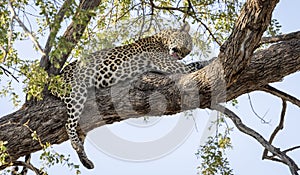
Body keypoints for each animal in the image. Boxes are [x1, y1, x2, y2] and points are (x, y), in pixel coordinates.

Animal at [54, 22, 213, 168]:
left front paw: (209, 61)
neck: (161, 40)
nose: (180, 55)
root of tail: (56, 77)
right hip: (77, 90)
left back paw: (85, 160)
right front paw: (211, 61)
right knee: (69, 124)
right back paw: (76, 144)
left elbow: (195, 63)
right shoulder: (172, 65)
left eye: (187, 52)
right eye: (185, 44)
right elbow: (192, 66)